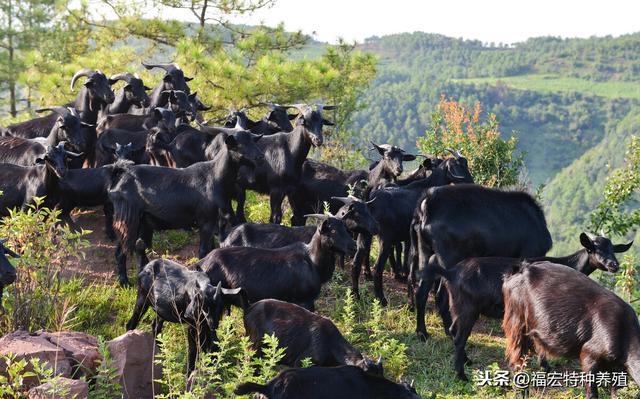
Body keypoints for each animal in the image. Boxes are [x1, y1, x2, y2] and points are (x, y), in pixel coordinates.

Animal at [109, 130, 264, 286]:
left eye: (253, 141)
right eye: (240, 145)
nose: (260, 156)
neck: (214, 176)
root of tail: (119, 177)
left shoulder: (214, 220)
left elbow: (211, 247)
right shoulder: (206, 220)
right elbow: (204, 251)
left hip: (142, 222)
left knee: (137, 249)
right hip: (127, 219)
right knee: (121, 252)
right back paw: (124, 282)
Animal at [196, 216, 356, 312]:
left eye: (346, 229)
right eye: (333, 231)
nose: (354, 246)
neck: (312, 260)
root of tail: (202, 263)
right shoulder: (305, 301)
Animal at [504, 262, 640, 399]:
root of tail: (521, 269)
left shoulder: (616, 367)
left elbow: (615, 391)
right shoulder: (589, 354)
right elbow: (592, 391)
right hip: (516, 322)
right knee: (517, 360)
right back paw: (521, 393)